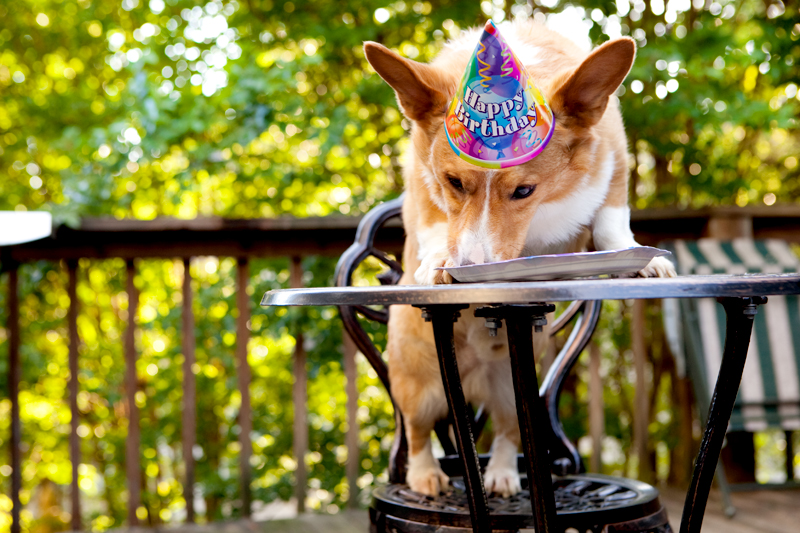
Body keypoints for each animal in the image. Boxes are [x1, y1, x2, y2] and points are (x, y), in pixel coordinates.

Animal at [366, 18, 680, 496]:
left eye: (524, 190)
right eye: (453, 182)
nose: (471, 270)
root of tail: (474, 380)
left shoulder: (614, 165)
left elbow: (611, 219)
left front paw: (641, 258)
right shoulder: (424, 188)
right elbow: (435, 224)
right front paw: (438, 262)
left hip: (517, 391)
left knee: (508, 433)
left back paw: (500, 474)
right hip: (420, 385)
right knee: (419, 433)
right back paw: (426, 476)